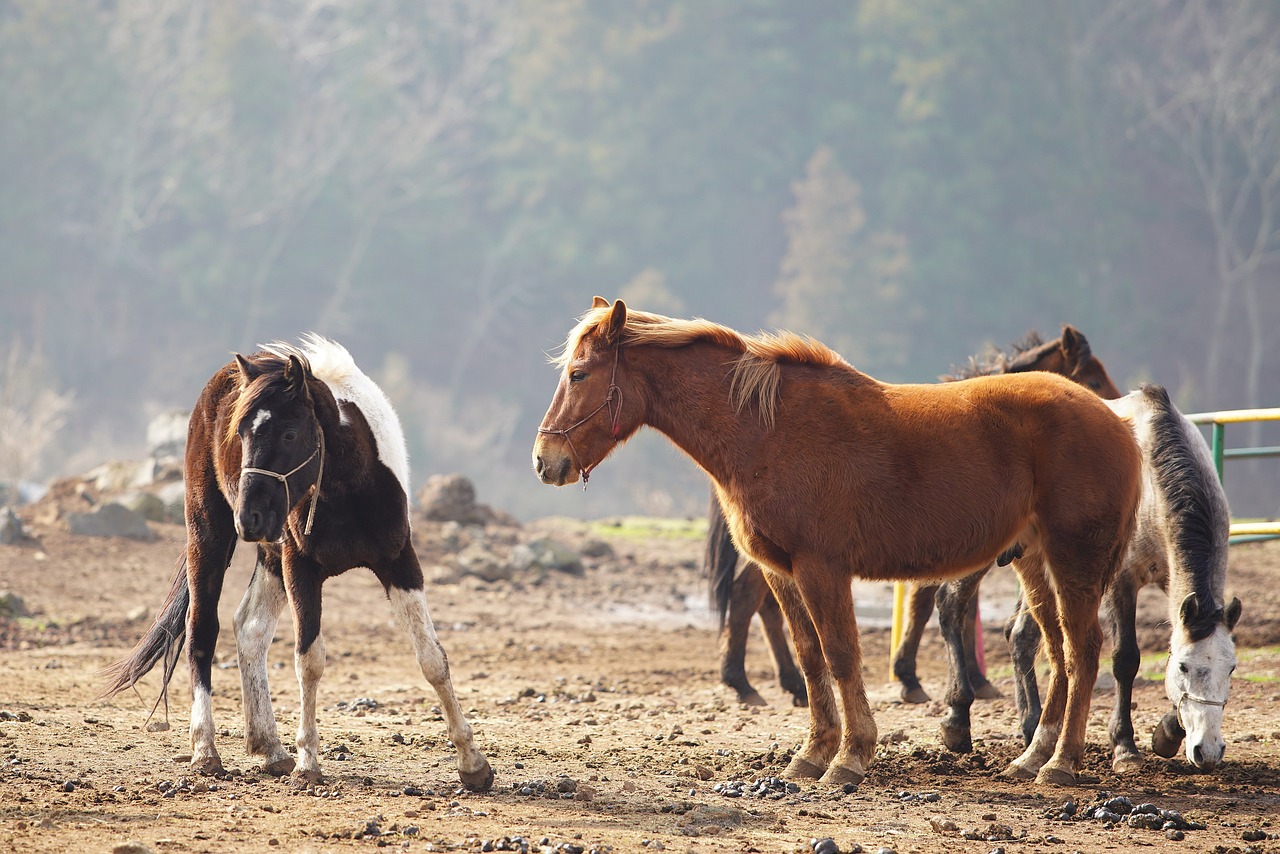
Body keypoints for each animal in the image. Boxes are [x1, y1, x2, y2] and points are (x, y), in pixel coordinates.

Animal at [101, 338, 494, 793]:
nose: (248, 518)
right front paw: (308, 762)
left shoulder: (400, 562)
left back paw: (269, 747)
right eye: (241, 432)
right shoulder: (300, 568)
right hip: (210, 535)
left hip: (269, 556)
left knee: (249, 627)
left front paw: (472, 762)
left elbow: (431, 657)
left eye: (290, 433)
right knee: (202, 630)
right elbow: (309, 661)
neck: (348, 489)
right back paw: (206, 751)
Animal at [529, 300, 1141, 788]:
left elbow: (842, 655)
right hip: (1036, 563)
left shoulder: (822, 569)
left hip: (1073, 560)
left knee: (1084, 651)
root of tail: (1118, 421)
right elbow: (809, 656)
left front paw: (850, 757)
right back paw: (1034, 755)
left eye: (579, 374)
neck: (767, 428)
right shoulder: (781, 572)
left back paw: (1061, 764)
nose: (544, 462)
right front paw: (812, 753)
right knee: (1060, 651)